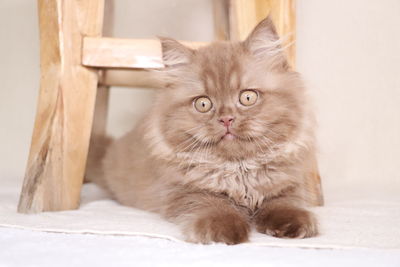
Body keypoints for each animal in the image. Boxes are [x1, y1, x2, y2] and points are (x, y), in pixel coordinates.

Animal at [86, 17, 322, 246]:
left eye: (247, 97)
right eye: (203, 104)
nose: (226, 119)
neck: (239, 170)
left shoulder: (287, 186)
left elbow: (284, 205)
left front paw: (293, 225)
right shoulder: (184, 190)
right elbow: (212, 204)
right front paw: (225, 230)